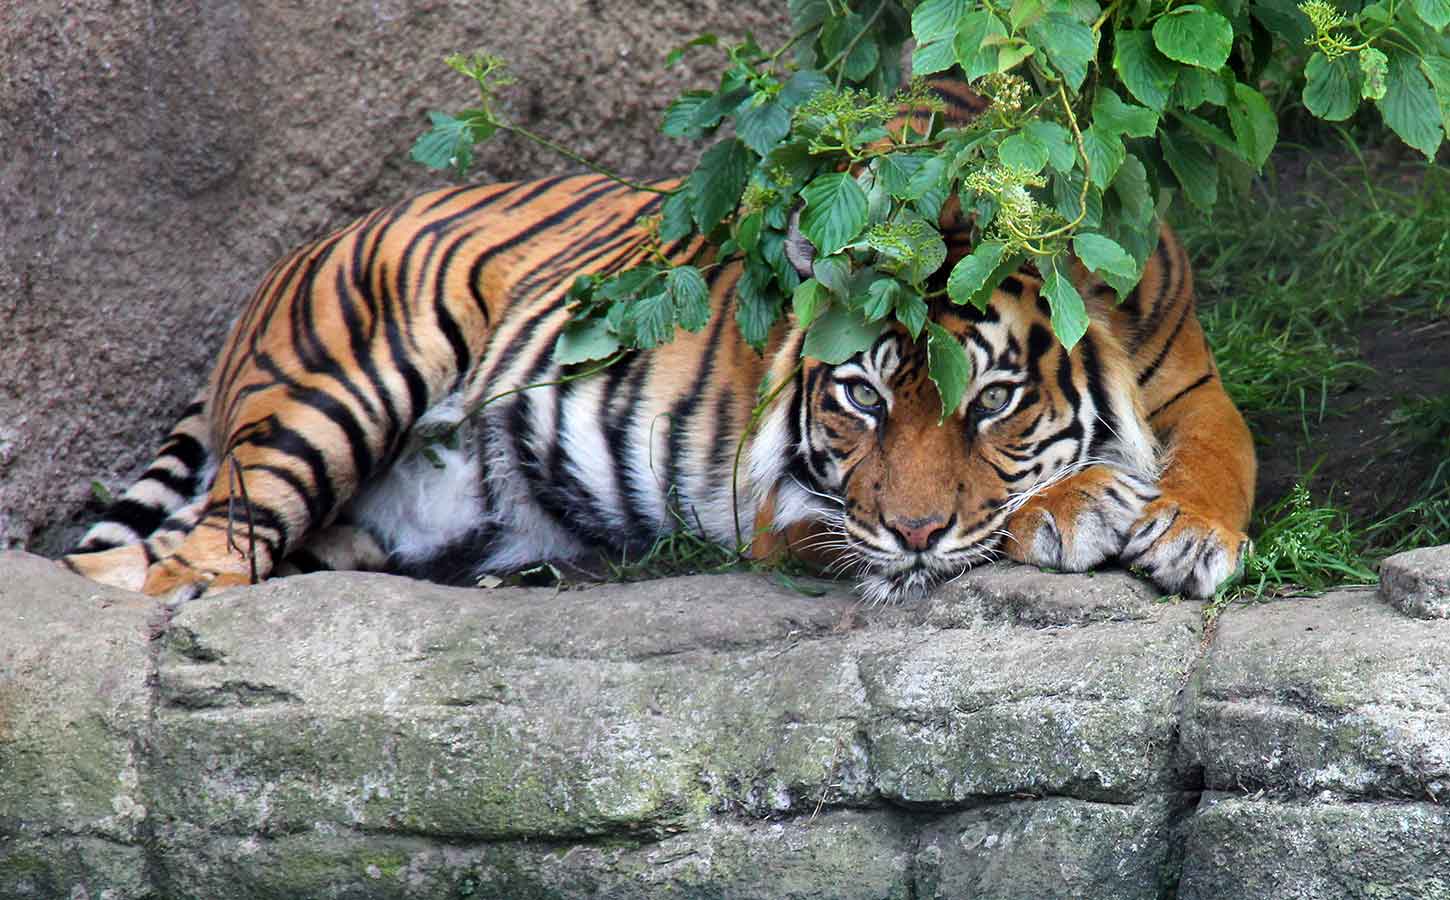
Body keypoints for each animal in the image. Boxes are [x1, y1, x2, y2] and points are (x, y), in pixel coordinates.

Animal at [61, 80, 1255, 604]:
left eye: (992, 402)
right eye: (861, 400)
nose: (911, 533)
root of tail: (297, 255)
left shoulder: (1187, 375)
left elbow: (1222, 452)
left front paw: (1185, 533)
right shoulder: (788, 508)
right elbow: (959, 527)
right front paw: (1078, 505)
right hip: (341, 384)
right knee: (179, 560)